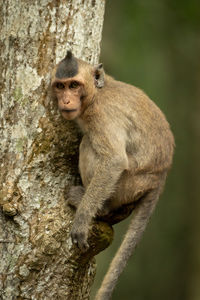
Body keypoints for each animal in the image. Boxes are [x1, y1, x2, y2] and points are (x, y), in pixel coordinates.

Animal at [51, 51, 173, 300]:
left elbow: (113, 160)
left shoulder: (102, 116)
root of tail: (159, 178)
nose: (65, 100)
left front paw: (82, 219)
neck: (96, 95)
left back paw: (97, 208)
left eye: (74, 85)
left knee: (89, 144)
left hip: (130, 183)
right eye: (60, 86)